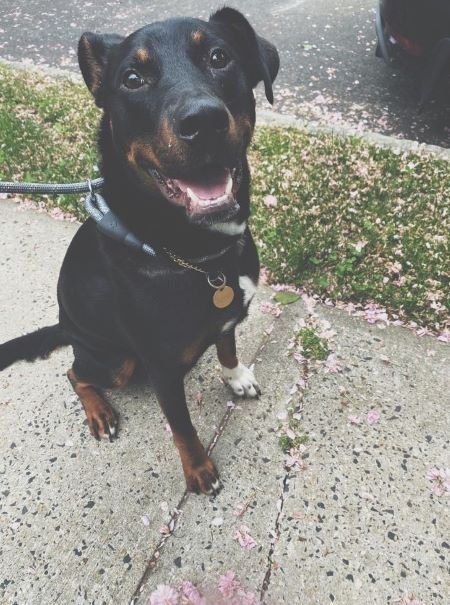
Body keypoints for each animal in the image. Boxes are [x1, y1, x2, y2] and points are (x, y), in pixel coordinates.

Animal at [0, 5, 280, 496]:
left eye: (219, 56)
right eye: (132, 78)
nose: (202, 121)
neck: (198, 255)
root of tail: (65, 326)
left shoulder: (226, 316)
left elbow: (226, 345)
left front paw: (236, 376)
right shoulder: (162, 367)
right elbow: (183, 427)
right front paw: (198, 471)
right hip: (117, 361)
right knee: (75, 372)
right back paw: (99, 411)